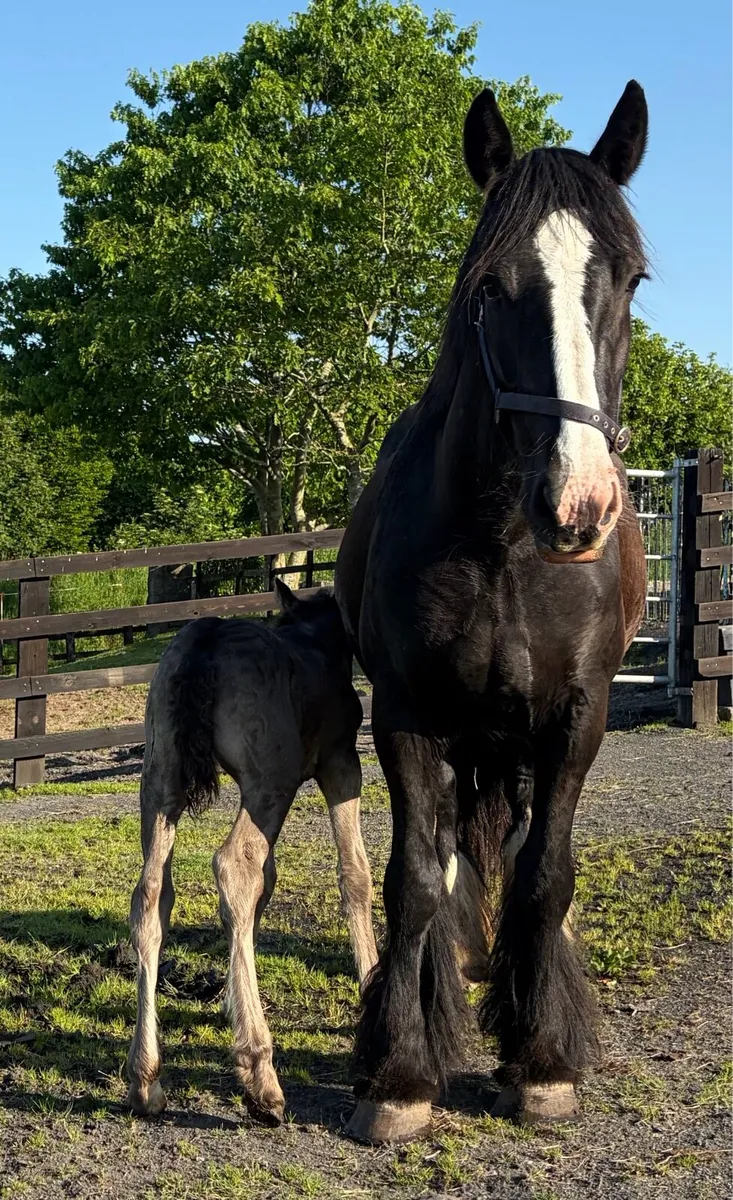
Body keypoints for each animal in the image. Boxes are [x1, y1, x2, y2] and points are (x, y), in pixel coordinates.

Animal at [126, 581, 378, 1122]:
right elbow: (354, 873)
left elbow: (269, 883)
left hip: (160, 778)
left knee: (152, 894)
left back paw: (145, 1079)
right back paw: (260, 1075)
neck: (316, 638)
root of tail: (205, 639)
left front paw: (227, 997)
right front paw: (371, 982)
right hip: (270, 782)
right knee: (233, 866)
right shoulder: (341, 762)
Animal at [335, 81, 648, 1143]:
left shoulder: (577, 717)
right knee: (456, 852)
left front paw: (541, 1059)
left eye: (630, 279)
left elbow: (545, 870)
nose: (578, 504)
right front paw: (400, 1072)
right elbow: (415, 877)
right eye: (488, 288)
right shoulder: (406, 716)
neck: (503, 546)